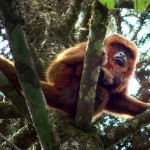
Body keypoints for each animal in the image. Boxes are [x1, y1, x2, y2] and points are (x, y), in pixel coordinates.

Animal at [0, 33, 149, 119]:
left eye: (128, 52)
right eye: (118, 46)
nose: (122, 55)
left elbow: (117, 99)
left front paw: (144, 108)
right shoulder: (86, 46)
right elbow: (59, 64)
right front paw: (103, 64)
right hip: (64, 78)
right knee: (67, 68)